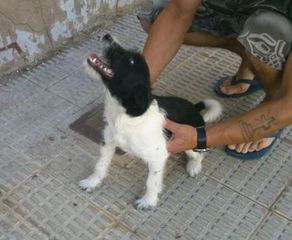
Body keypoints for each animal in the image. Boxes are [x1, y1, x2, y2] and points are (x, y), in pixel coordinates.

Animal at [78, 34, 222, 210]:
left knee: (199, 154)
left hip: (190, 142)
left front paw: (148, 200)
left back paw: (194, 166)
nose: (107, 35)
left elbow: (151, 181)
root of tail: (194, 109)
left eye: (131, 60)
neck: (123, 115)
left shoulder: (158, 156)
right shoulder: (108, 142)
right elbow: (100, 164)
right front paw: (92, 182)